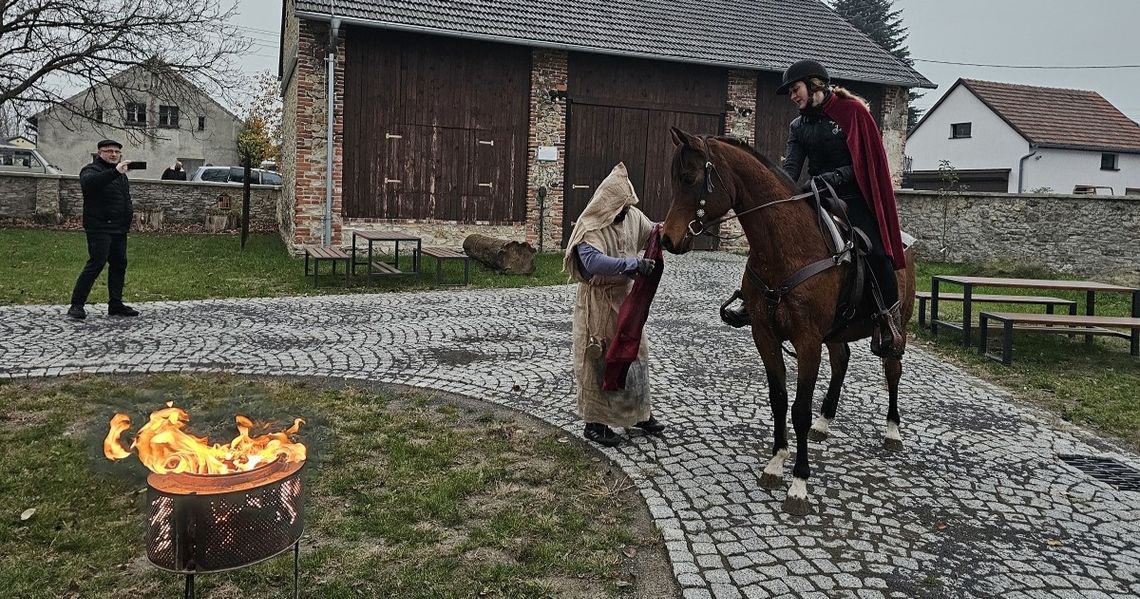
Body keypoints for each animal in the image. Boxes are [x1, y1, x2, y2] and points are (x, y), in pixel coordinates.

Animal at [661, 126, 916, 513]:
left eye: (689, 178)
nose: (667, 238)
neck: (785, 248)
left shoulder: (807, 341)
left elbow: (799, 409)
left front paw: (799, 482)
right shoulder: (765, 335)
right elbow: (779, 398)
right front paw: (776, 462)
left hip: (897, 326)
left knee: (893, 369)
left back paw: (892, 430)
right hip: (836, 332)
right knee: (842, 360)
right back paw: (826, 422)